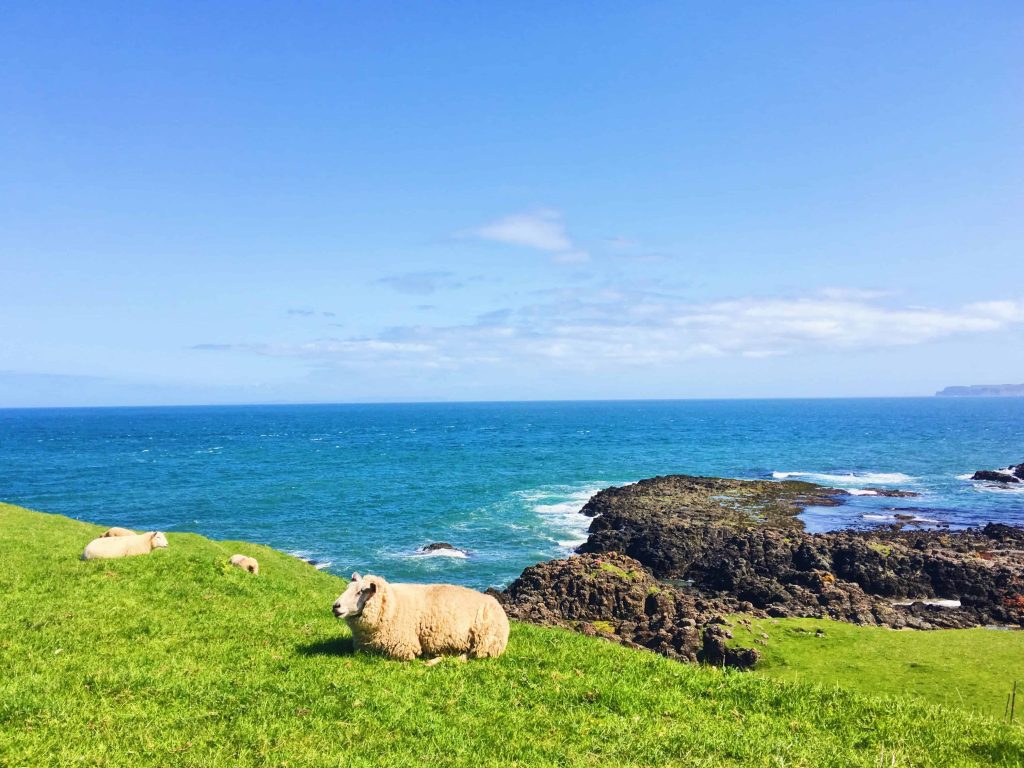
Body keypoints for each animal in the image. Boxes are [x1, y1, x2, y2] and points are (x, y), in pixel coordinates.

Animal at [331, 573, 507, 663]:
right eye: (348, 587)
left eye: (360, 592)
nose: (335, 606)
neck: (393, 607)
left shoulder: (403, 647)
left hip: (486, 641)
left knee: (469, 655)